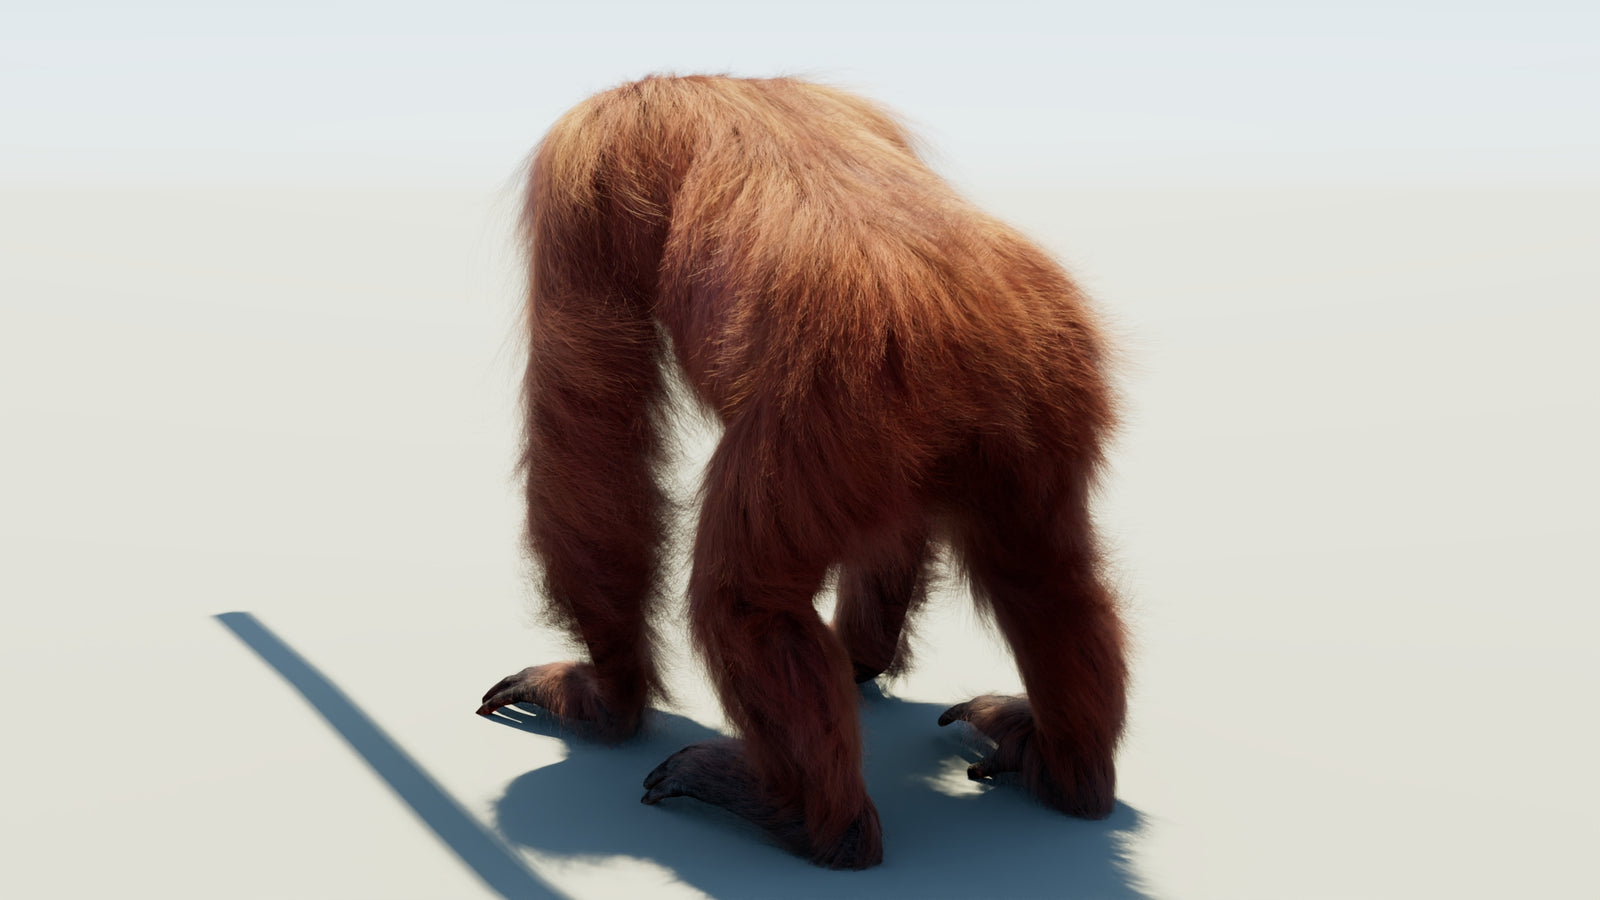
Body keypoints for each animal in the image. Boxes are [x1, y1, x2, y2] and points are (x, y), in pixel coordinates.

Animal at [477, 75, 1128, 870]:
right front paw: (863, 658)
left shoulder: (583, 162)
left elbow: (589, 427)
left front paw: (603, 697)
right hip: (1038, 395)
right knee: (1046, 574)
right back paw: (1063, 770)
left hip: (827, 419)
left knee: (742, 599)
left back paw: (812, 821)